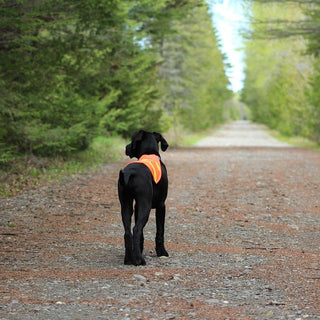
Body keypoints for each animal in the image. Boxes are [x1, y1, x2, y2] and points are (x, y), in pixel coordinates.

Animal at [118, 130, 170, 264]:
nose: (126, 147)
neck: (149, 153)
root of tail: (129, 173)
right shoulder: (161, 205)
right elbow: (160, 230)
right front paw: (162, 252)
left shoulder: (137, 206)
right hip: (145, 206)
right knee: (136, 230)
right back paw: (139, 260)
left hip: (126, 205)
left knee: (128, 232)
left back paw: (129, 259)